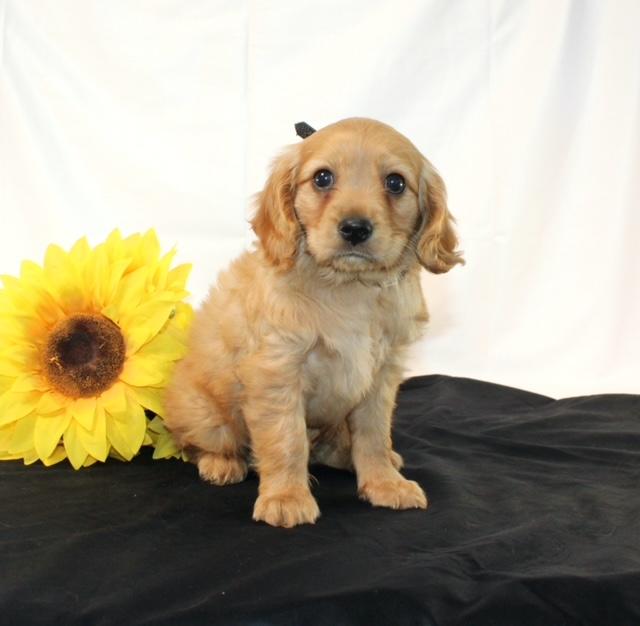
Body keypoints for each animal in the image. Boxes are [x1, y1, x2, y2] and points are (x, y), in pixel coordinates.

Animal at [164, 118, 464, 528]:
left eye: (396, 183)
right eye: (322, 178)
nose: (355, 228)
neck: (350, 288)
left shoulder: (381, 376)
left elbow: (374, 435)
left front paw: (384, 484)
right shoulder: (278, 371)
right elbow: (287, 439)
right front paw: (286, 497)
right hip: (205, 416)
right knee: (201, 443)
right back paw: (222, 464)